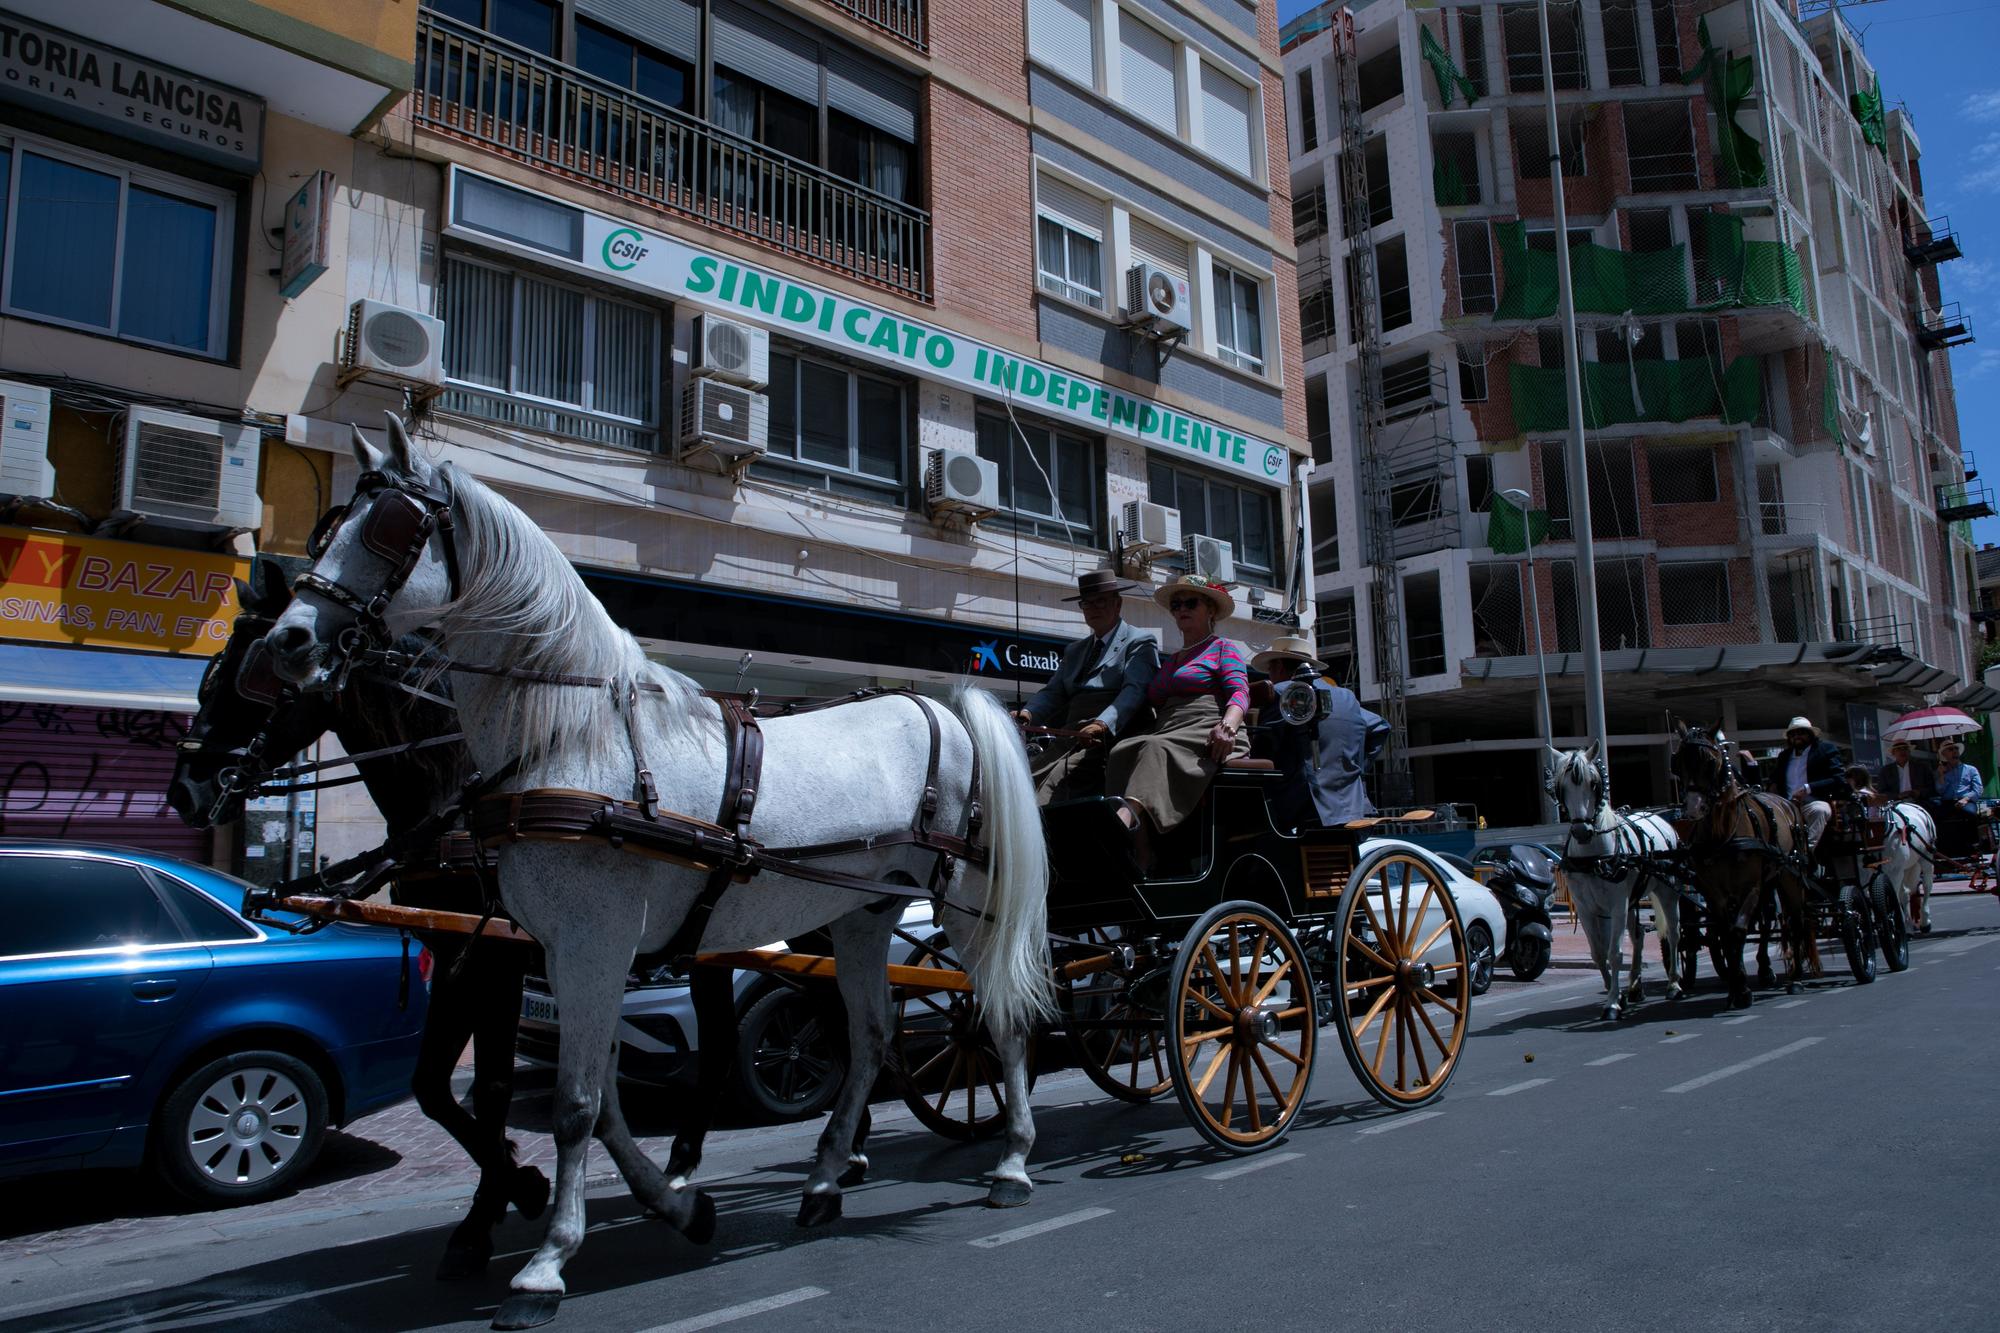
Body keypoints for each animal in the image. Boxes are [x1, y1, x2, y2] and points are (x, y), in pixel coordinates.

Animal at [268, 420, 1056, 1320]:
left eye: (392, 528)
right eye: (331, 526)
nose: (289, 640)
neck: (573, 737)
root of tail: (943, 707)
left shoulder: (594, 942)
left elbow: (575, 1105)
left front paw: (546, 1263)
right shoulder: (571, 952)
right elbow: (602, 1103)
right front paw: (679, 1205)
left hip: (971, 903)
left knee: (1002, 1018)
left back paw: (1012, 1160)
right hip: (862, 915)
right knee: (869, 1038)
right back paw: (825, 1178)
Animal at [1552, 736, 1680, 1016]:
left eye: (1593, 783)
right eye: (1562, 787)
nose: (1582, 831)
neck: (1593, 857)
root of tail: (1660, 820)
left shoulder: (1617, 903)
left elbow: (1615, 953)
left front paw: (1612, 1001)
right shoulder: (1586, 907)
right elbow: (1598, 953)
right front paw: (1618, 994)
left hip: (1667, 890)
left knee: (1674, 933)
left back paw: (1674, 984)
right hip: (1633, 900)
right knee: (1638, 935)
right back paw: (1635, 987)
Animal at [1672, 716, 1816, 1008]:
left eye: (1711, 761)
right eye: (1678, 762)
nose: (1693, 809)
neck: (1724, 833)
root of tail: (1790, 803)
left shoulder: (1750, 886)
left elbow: (1739, 930)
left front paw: (1742, 990)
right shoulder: (1714, 892)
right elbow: (1726, 934)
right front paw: (1735, 987)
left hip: (1789, 876)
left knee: (1793, 922)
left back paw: (1793, 978)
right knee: (1767, 920)